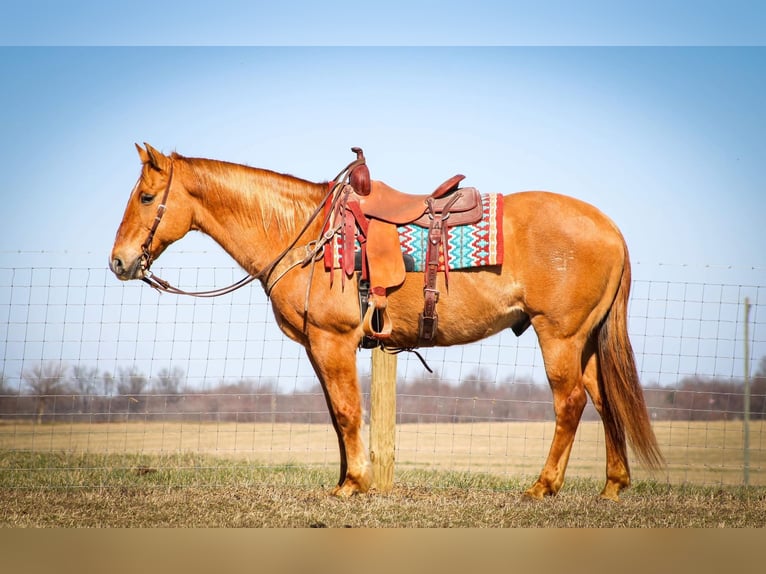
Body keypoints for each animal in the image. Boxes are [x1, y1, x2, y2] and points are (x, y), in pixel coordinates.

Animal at [109, 145, 664, 504]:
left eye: (145, 197)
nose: (119, 262)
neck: (305, 234)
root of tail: (611, 228)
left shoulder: (332, 342)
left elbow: (348, 413)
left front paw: (354, 483)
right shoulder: (321, 348)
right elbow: (337, 415)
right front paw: (345, 479)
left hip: (560, 337)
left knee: (570, 404)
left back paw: (543, 487)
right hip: (584, 341)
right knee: (603, 400)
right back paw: (613, 486)